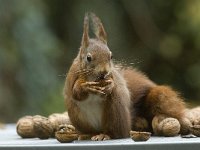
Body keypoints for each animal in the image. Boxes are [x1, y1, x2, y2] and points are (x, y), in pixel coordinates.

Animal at [63, 13, 188, 141]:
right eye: (88, 58)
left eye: (111, 56)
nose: (104, 72)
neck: (94, 78)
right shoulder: (73, 75)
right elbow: (75, 93)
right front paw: (86, 87)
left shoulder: (113, 76)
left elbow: (113, 84)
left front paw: (111, 86)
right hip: (78, 118)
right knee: (91, 130)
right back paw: (86, 134)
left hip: (115, 112)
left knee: (118, 133)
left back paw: (105, 135)